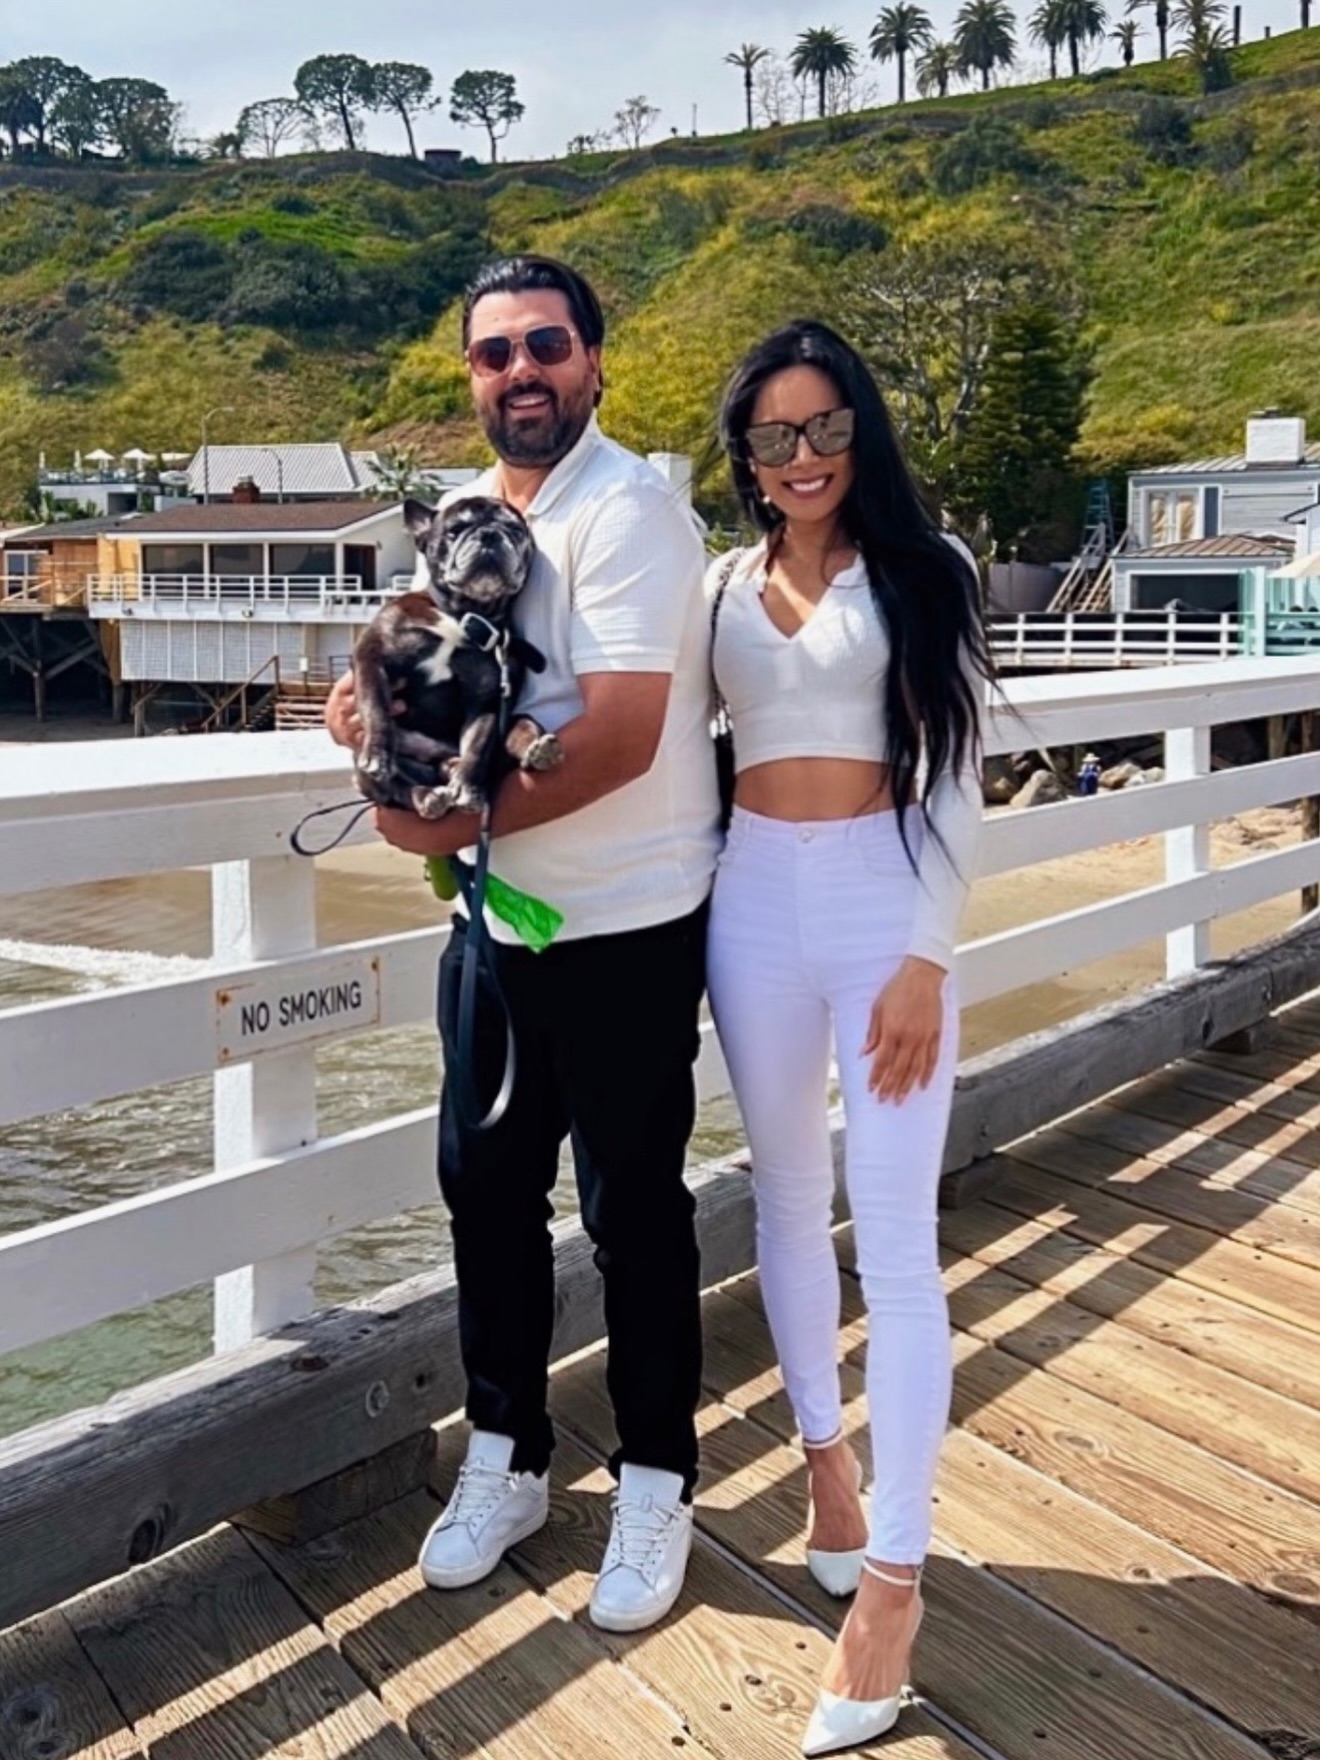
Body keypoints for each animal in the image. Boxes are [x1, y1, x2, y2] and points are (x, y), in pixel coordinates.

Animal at [353, 496, 563, 820]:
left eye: (516, 531)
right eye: (455, 530)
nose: (489, 535)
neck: (464, 615)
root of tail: (438, 762)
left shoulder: (486, 698)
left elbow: (478, 744)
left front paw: (467, 787)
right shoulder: (373, 661)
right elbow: (376, 708)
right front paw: (378, 752)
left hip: (511, 722)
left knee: (521, 727)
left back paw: (537, 749)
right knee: (397, 788)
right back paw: (425, 796)